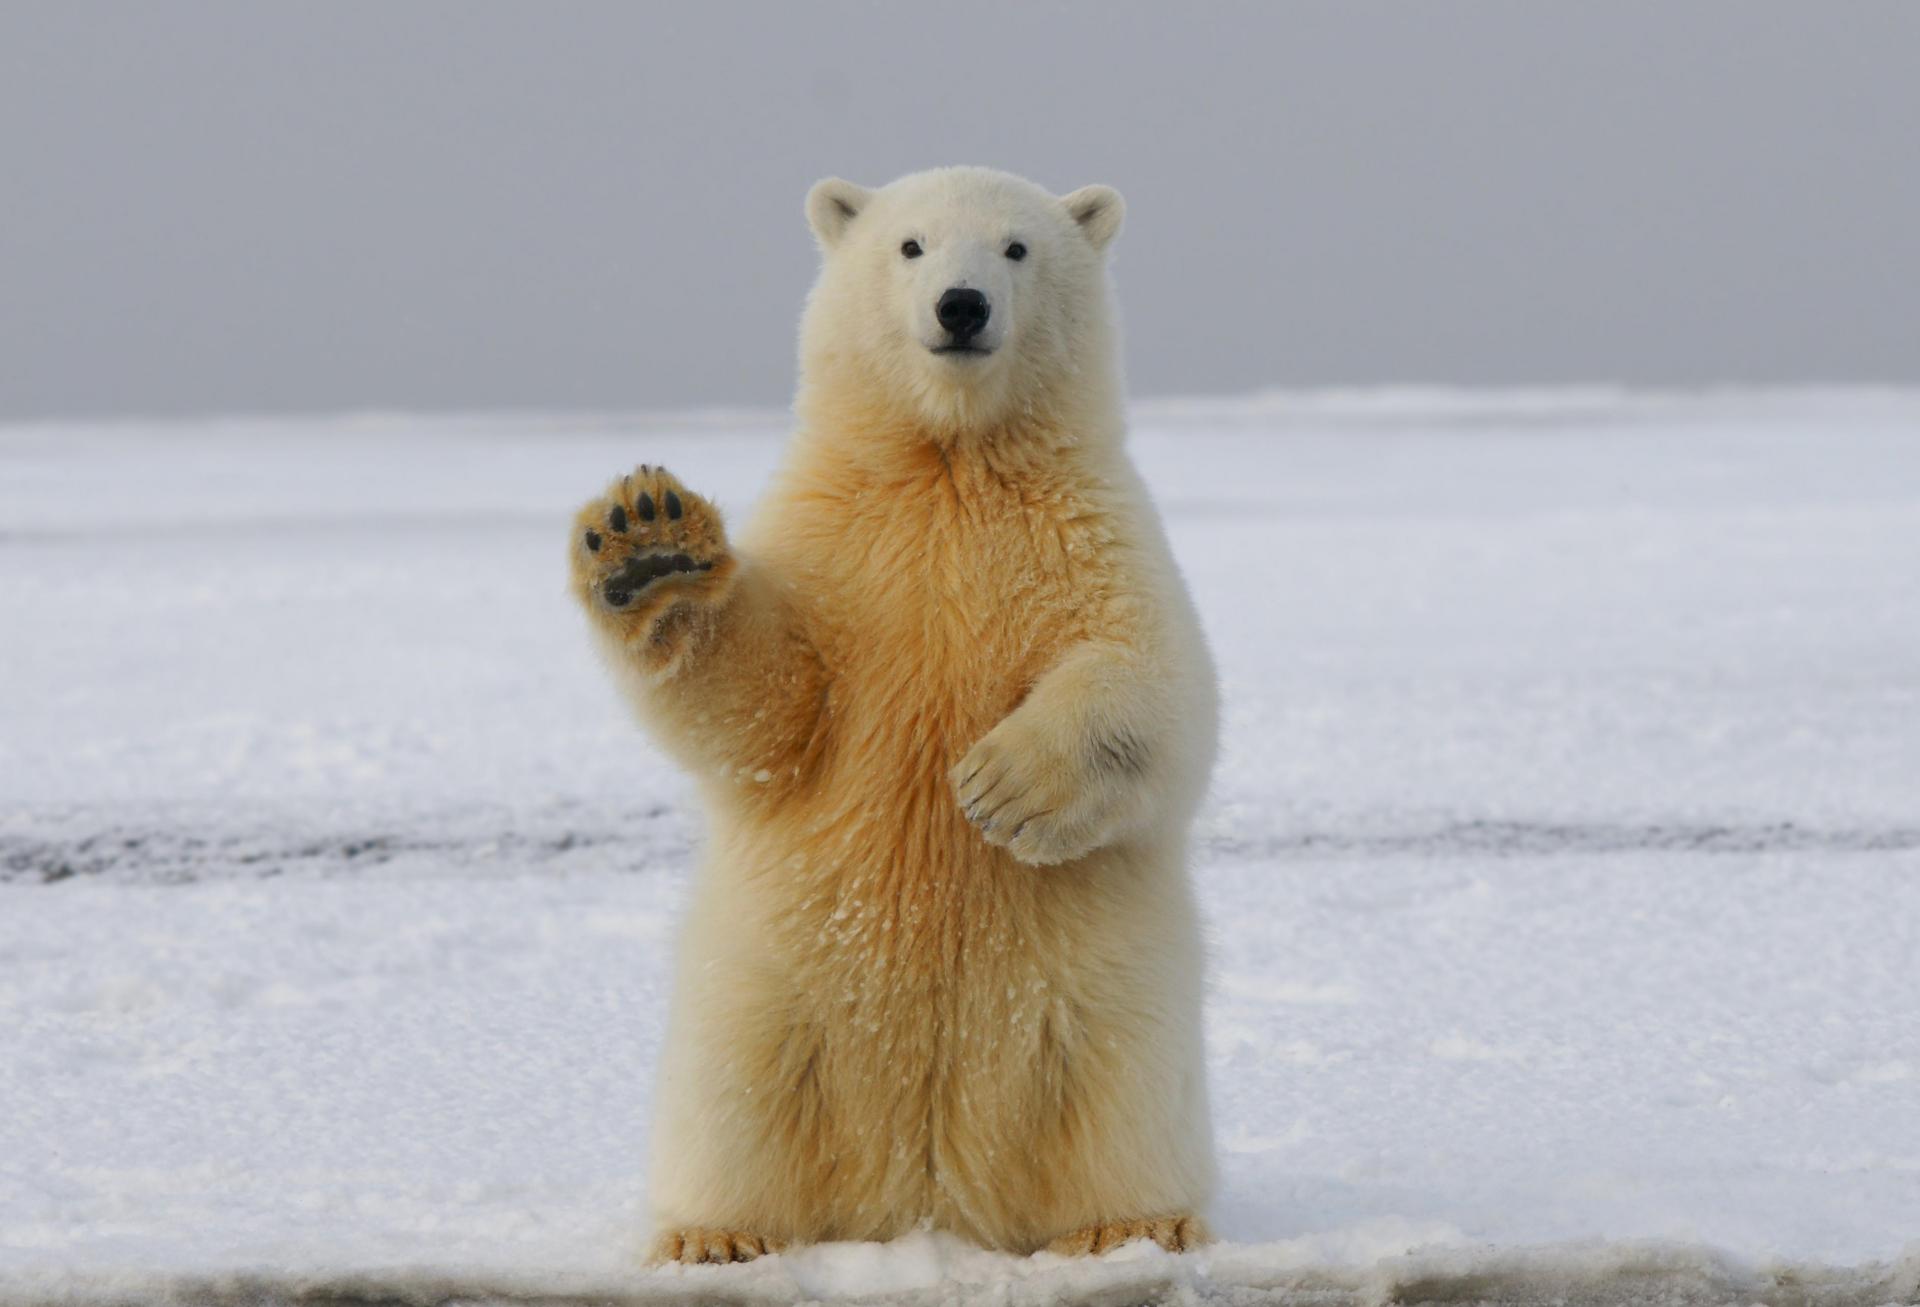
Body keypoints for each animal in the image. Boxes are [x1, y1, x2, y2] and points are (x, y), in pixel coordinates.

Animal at [567, 166, 1218, 1263]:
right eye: (910, 245)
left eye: (1016, 248)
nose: (961, 306)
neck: (949, 461)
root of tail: (925, 1195)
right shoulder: (839, 545)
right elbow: (770, 706)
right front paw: (649, 544)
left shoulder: (1092, 532)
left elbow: (1157, 684)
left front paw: (1001, 785)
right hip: (766, 993)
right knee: (736, 1101)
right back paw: (713, 1234)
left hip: (1106, 1000)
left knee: (1118, 1096)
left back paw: (1134, 1222)